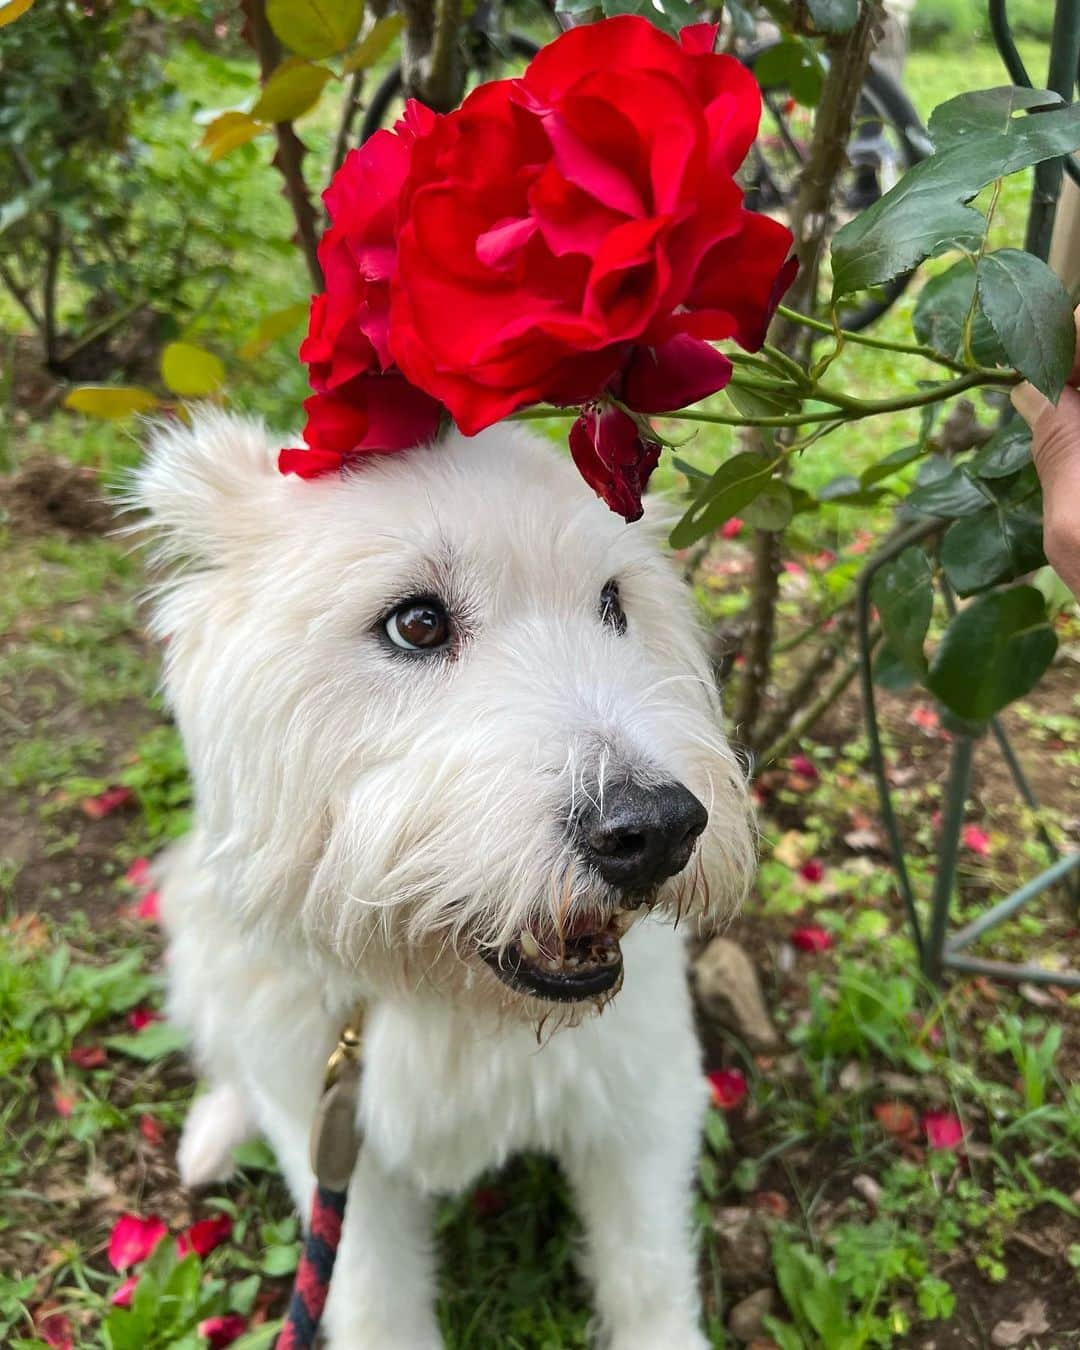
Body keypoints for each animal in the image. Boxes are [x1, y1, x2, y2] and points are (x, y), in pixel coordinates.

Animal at [135, 410, 756, 1350]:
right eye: (417, 624)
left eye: (615, 605)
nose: (658, 833)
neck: (454, 1002)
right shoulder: (343, 1153)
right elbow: (369, 1300)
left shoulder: (641, 1100)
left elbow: (646, 1274)